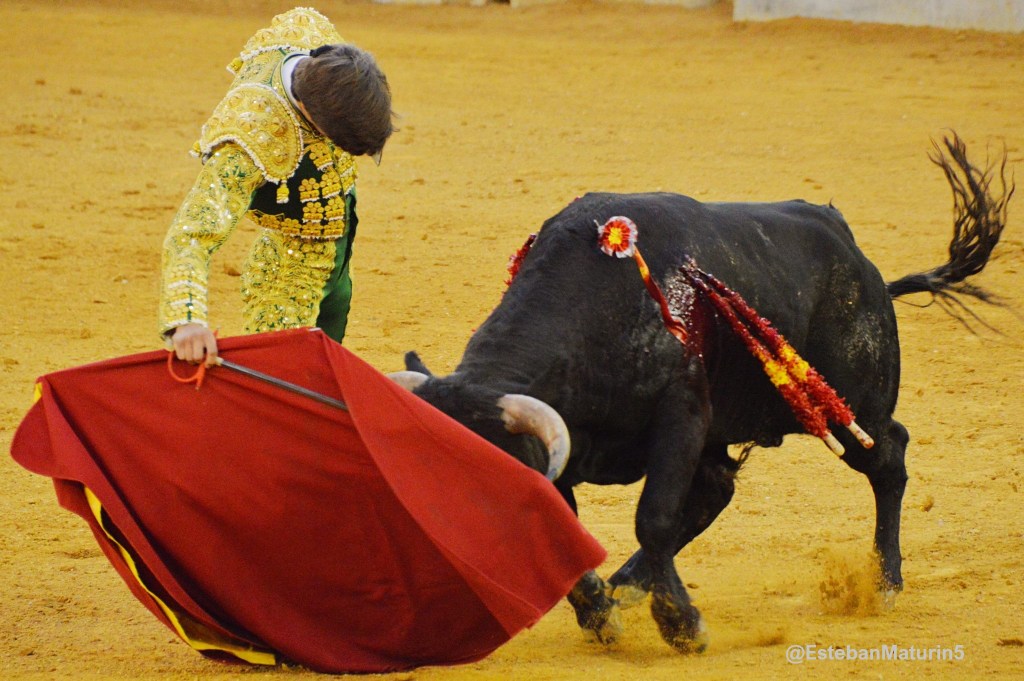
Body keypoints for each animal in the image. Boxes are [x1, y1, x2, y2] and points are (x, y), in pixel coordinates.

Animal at [389, 133, 1013, 652]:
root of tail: (855, 253)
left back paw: (884, 582)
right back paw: (625, 585)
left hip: (852, 406)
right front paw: (604, 613)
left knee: (888, 458)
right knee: (717, 492)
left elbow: (655, 518)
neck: (599, 307)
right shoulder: (567, 448)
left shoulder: (681, 413)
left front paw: (682, 626)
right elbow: (576, 530)